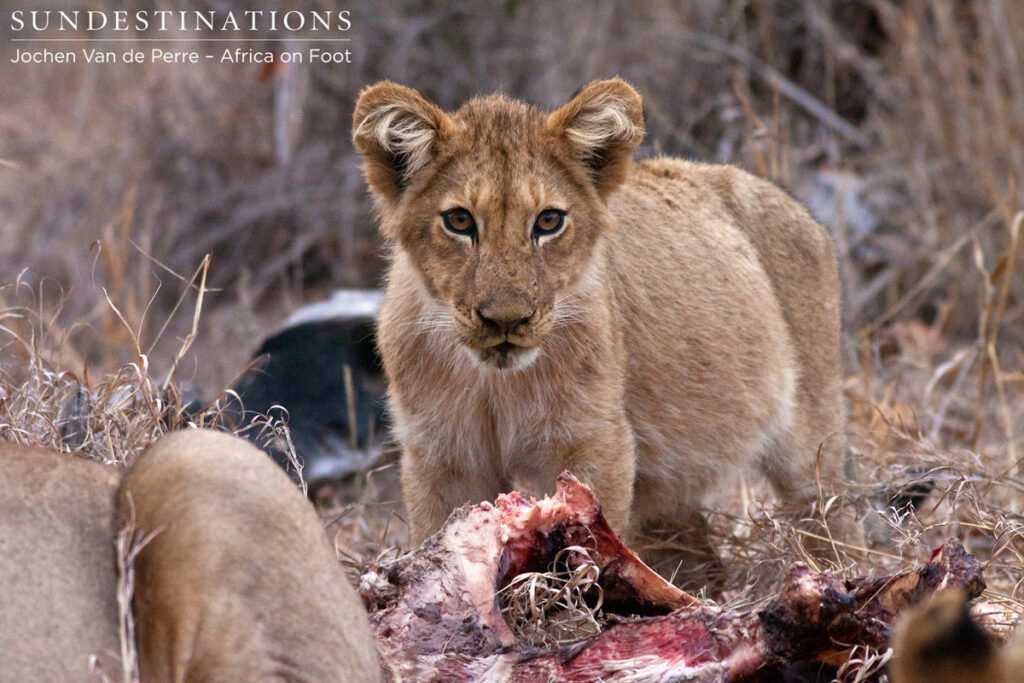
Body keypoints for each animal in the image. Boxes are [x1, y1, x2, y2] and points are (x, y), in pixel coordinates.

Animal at [352, 78, 844, 562]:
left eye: (548, 221)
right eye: (459, 220)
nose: (507, 320)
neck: (498, 384)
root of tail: (805, 214)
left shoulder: (597, 443)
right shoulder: (441, 458)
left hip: (811, 442)